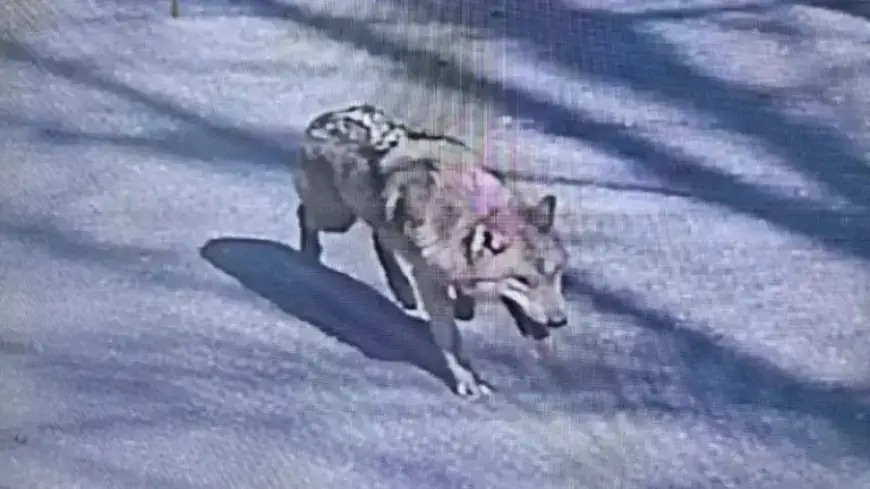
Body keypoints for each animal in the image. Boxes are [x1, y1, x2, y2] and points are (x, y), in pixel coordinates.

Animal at [293, 105, 570, 398]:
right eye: (523, 280)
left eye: (556, 273)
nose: (560, 321)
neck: (472, 215)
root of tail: (325, 118)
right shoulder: (429, 281)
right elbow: (450, 337)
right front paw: (467, 380)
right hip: (336, 218)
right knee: (306, 215)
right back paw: (309, 257)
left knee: (379, 238)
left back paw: (403, 291)